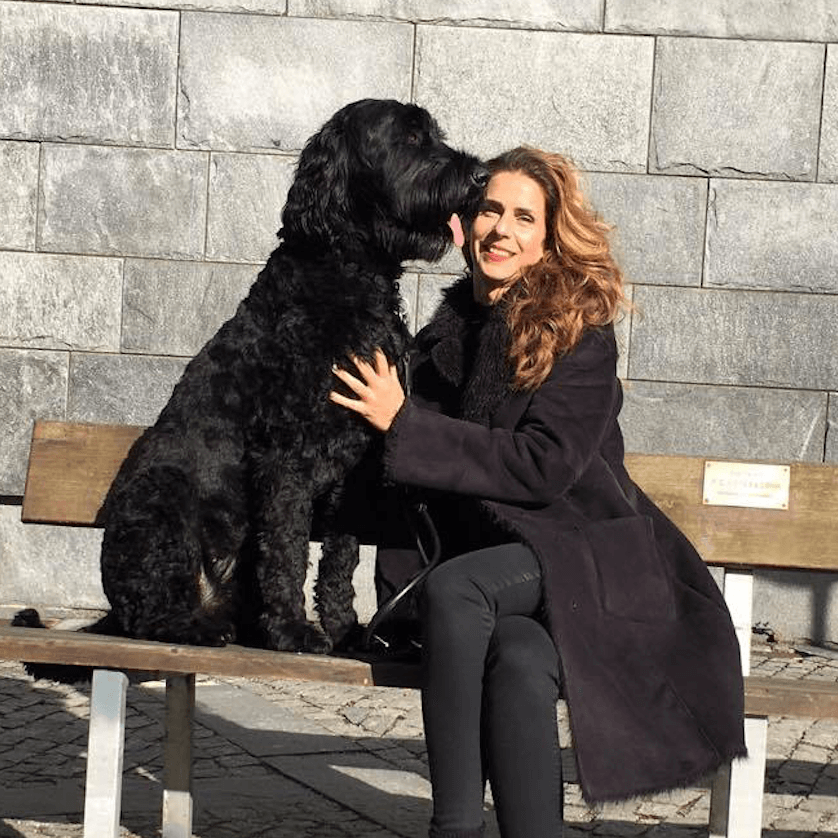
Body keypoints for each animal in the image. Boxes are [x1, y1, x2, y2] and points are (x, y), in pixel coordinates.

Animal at [17, 99, 486, 658]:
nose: (482, 176)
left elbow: (340, 559)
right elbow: (286, 550)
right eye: (411, 138)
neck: (348, 278)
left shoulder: (353, 470)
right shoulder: (286, 457)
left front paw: (346, 630)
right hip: (162, 504)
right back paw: (194, 628)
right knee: (150, 610)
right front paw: (293, 630)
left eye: (433, 132)